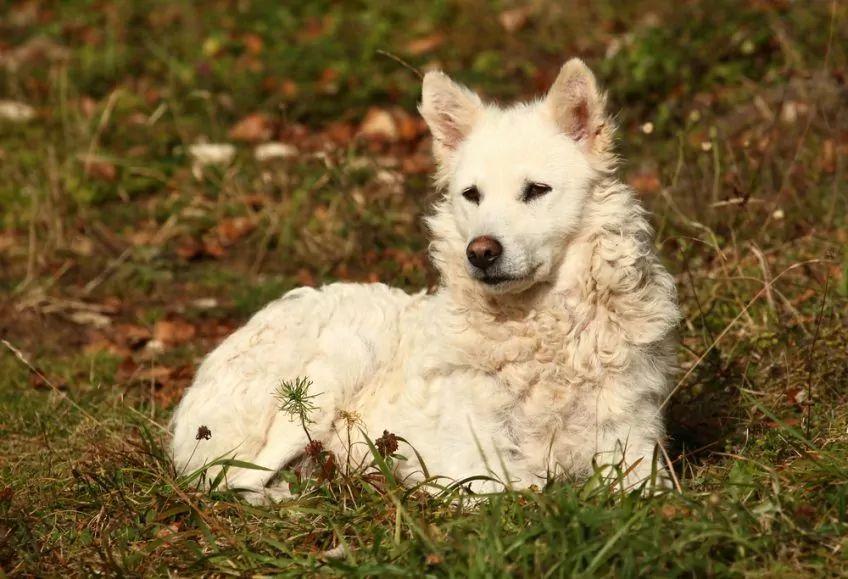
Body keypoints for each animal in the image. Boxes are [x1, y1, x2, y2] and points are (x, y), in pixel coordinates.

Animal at [172, 59, 684, 502]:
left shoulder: (635, 448)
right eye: (471, 195)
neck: (543, 331)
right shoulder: (472, 465)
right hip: (336, 366)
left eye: (536, 190)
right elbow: (522, 493)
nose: (480, 252)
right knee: (230, 481)